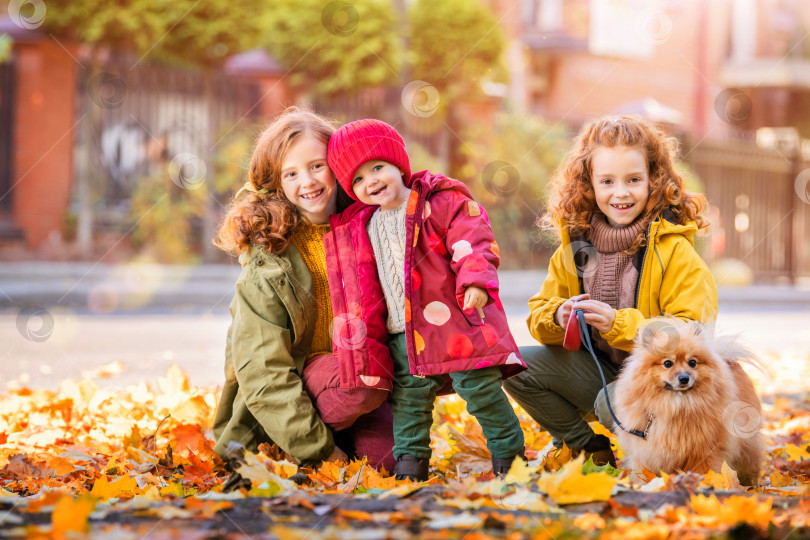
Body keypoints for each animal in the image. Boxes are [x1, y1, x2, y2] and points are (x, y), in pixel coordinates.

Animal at [616, 318, 760, 488]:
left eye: (692, 363)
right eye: (667, 363)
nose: (684, 378)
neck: (676, 404)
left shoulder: (704, 452)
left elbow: (703, 472)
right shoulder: (646, 451)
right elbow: (645, 474)